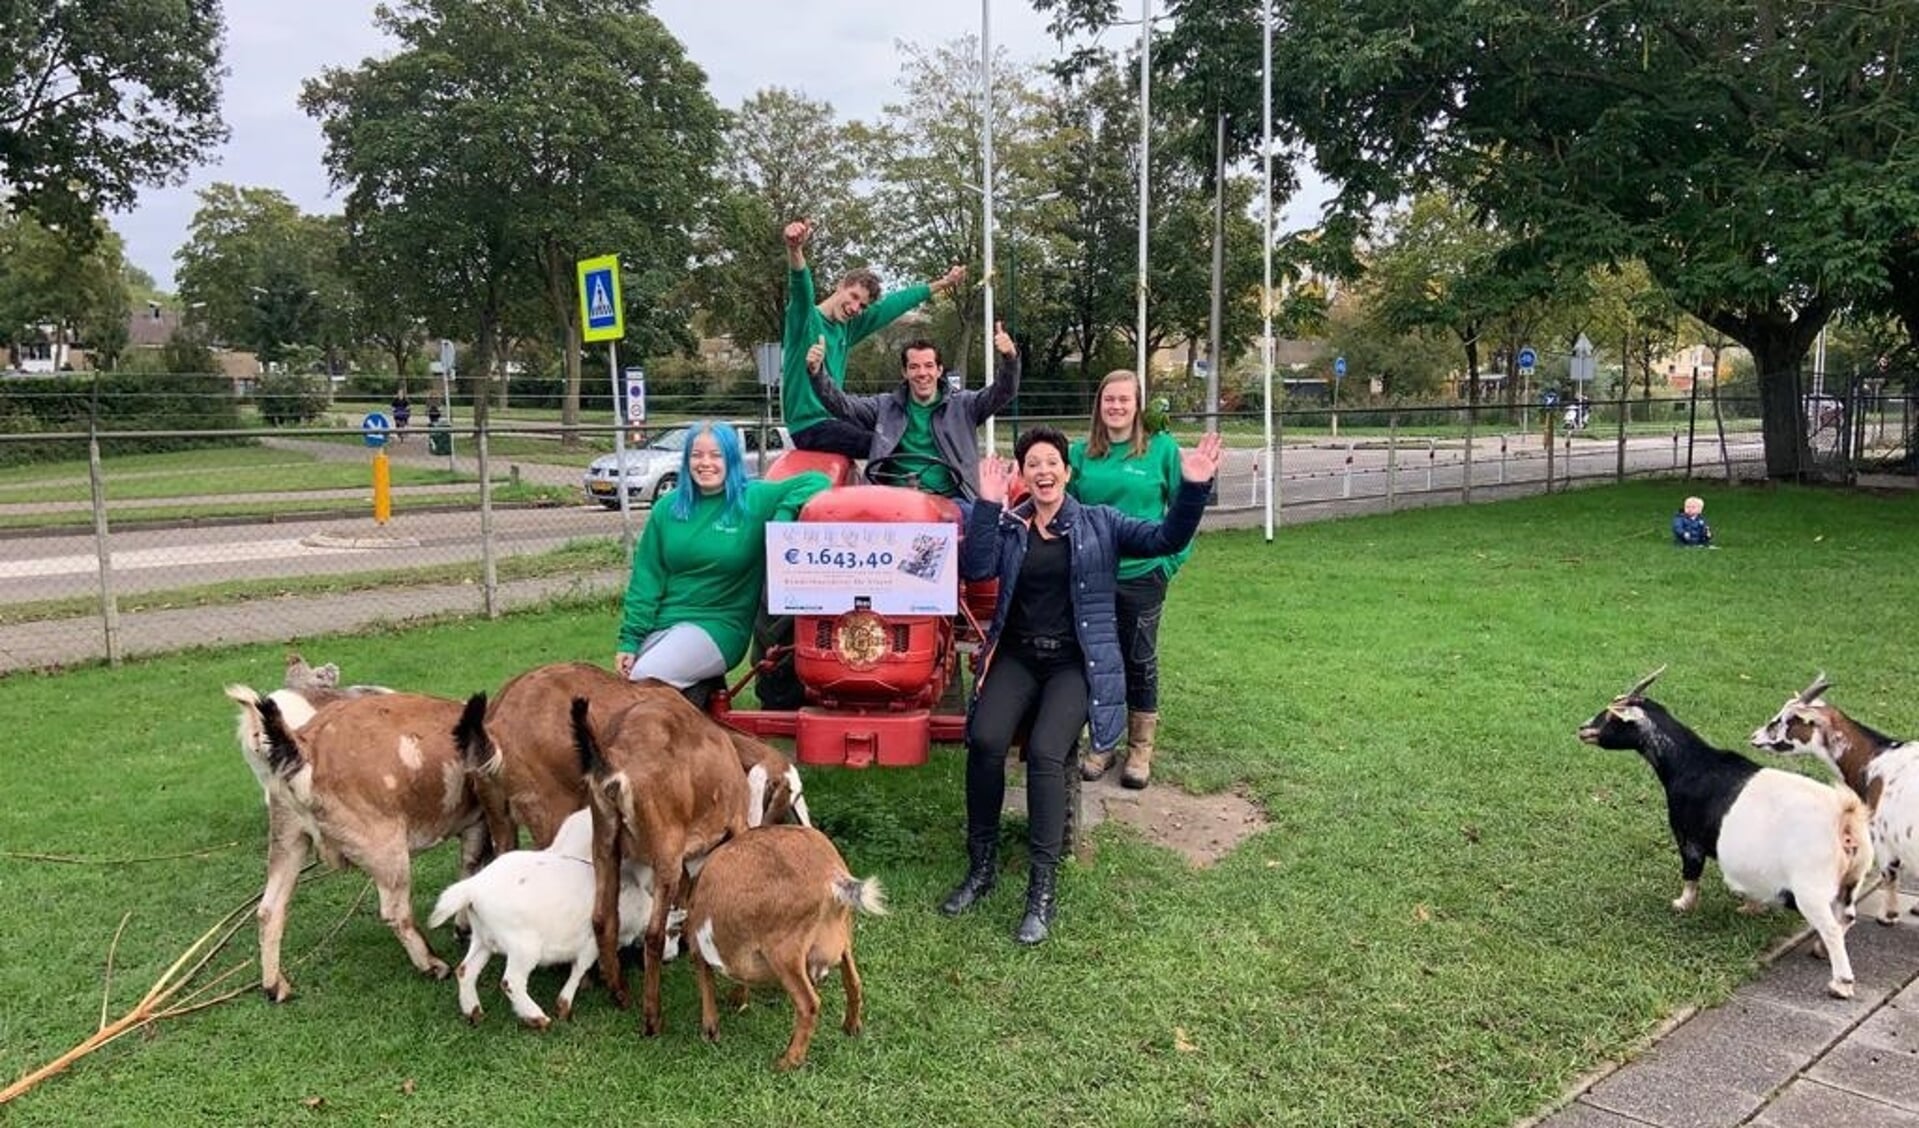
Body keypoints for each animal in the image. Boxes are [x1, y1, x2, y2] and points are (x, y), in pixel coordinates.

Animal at [236, 686, 495, 997]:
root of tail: (305, 751)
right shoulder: (478, 821)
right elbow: (472, 866)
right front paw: (463, 929)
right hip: (385, 845)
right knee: (395, 911)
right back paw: (433, 965)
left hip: (287, 834)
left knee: (269, 910)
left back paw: (276, 987)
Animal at [564, 702, 744, 1035]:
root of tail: (614, 760)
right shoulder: (736, 824)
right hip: (665, 852)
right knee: (652, 934)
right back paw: (652, 1017)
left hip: (605, 843)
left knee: (602, 918)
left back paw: (620, 992)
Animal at [683, 824, 882, 1074]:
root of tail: (831, 875)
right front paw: (738, 1000)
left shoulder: (697, 946)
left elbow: (706, 983)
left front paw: (710, 1031)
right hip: (844, 938)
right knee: (854, 982)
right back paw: (851, 1027)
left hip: (785, 952)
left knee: (809, 1004)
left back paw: (788, 1062)